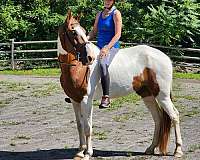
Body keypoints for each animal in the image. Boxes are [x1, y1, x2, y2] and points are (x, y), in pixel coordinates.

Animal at [57, 10, 183, 159]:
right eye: (73, 32)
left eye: (82, 31)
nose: (89, 58)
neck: (77, 68)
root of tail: (165, 57)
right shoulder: (75, 100)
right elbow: (80, 125)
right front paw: (80, 152)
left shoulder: (86, 101)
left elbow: (88, 126)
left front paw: (88, 153)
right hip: (147, 94)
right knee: (158, 119)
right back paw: (151, 148)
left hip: (162, 95)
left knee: (174, 116)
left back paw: (178, 150)